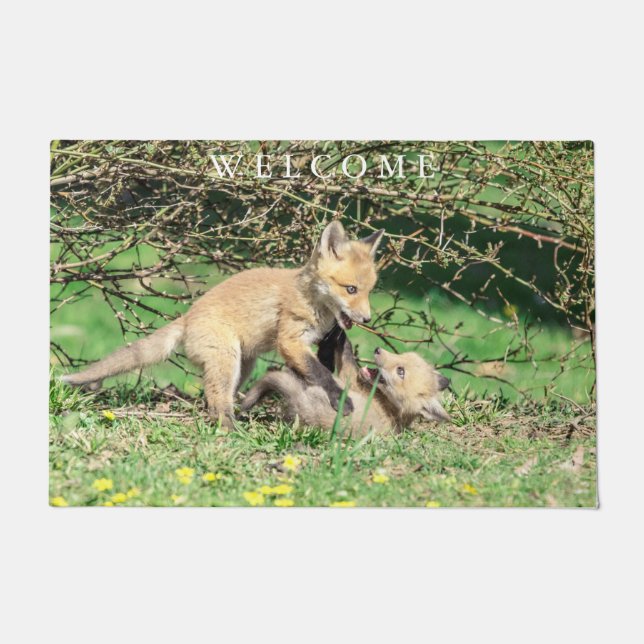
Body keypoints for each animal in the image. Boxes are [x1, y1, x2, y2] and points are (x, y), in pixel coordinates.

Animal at [61, 221, 385, 428]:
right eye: (351, 289)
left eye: (370, 291)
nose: (367, 319)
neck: (314, 303)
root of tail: (188, 317)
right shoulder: (290, 340)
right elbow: (321, 374)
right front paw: (339, 400)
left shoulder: (317, 343)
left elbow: (319, 368)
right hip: (227, 359)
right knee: (216, 401)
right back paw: (229, 428)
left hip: (243, 365)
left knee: (217, 398)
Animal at [241, 328, 451, 435]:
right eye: (402, 356)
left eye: (401, 371)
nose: (377, 350)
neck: (392, 409)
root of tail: (300, 402)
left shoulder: (350, 378)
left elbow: (346, 353)